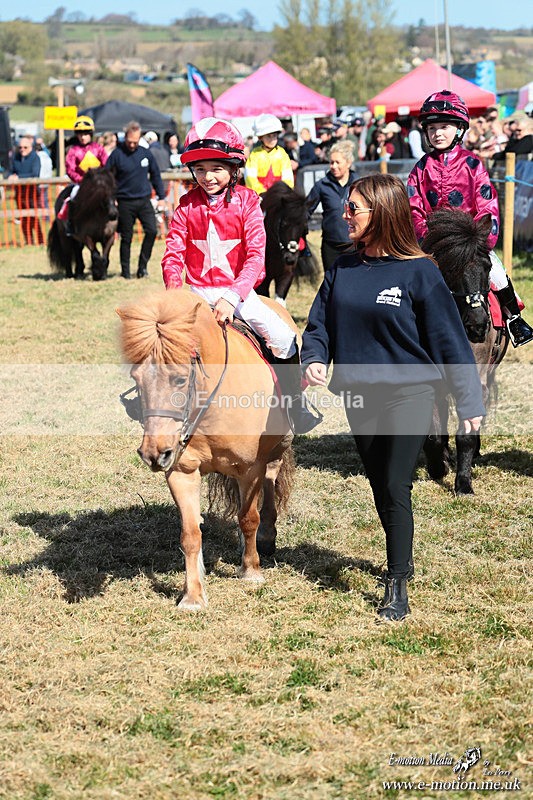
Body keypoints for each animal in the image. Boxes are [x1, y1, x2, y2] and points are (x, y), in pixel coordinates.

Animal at [117, 289, 296, 610]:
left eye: (179, 378)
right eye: (137, 379)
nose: (154, 454)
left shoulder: (250, 469)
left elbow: (248, 518)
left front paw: (251, 570)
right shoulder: (181, 471)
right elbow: (190, 534)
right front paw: (193, 595)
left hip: (277, 448)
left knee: (270, 480)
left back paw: (266, 536)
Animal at [421, 208, 509, 495]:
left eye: (487, 267)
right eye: (450, 268)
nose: (478, 325)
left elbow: (467, 433)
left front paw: (463, 483)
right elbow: (433, 433)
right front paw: (438, 467)